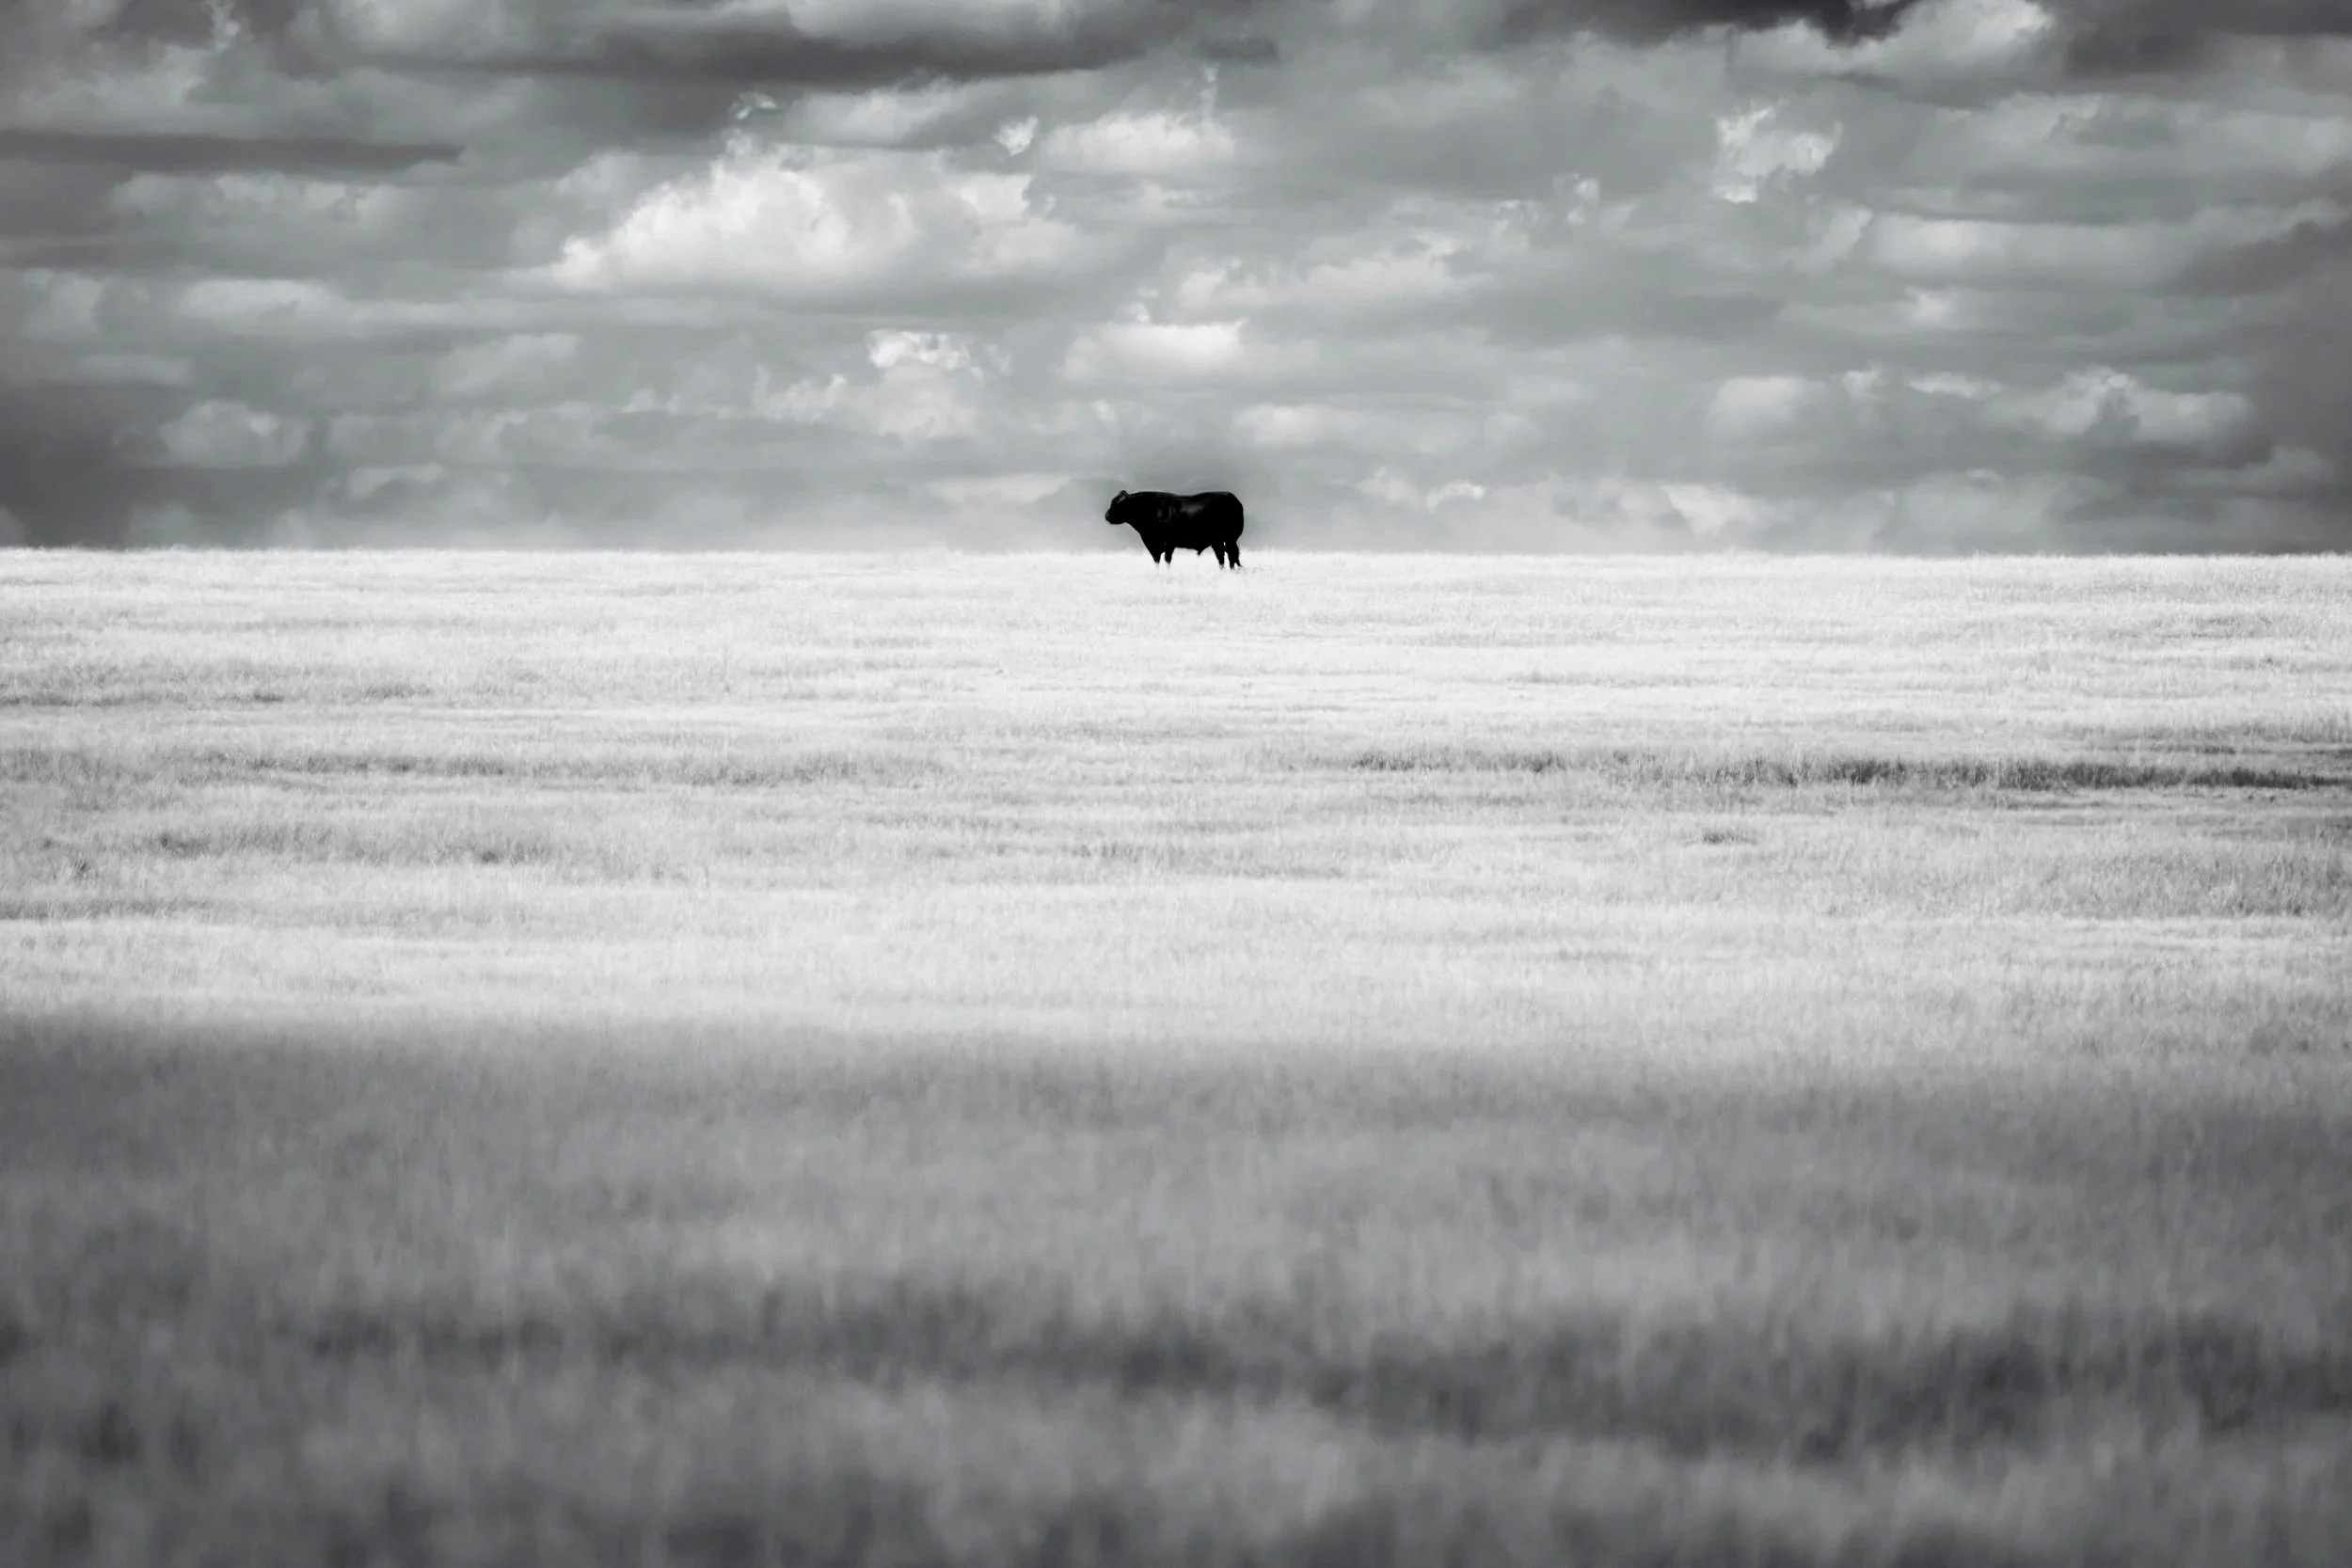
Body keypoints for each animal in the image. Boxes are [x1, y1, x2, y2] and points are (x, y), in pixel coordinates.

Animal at [1105, 490, 1244, 568]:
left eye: (1118, 504)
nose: (1106, 516)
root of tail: (1231, 497)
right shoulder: (1166, 543)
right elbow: (1166, 559)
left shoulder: (1157, 542)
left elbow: (1159, 559)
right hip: (1225, 539)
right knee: (1229, 555)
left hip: (1223, 539)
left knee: (1227, 555)